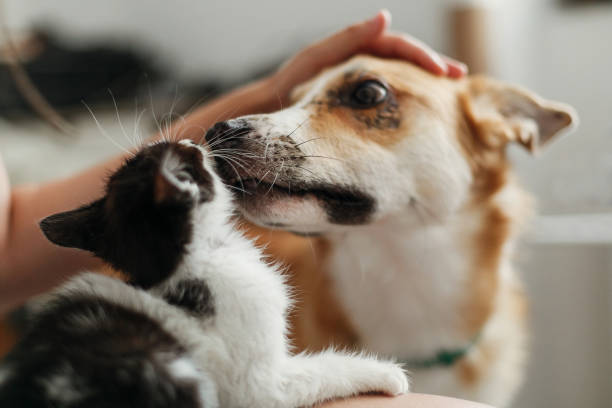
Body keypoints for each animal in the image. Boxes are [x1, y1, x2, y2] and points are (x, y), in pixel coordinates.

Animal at [1, 139, 412, 406]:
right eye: (186, 158)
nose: (189, 139)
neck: (192, 262)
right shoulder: (260, 385)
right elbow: (323, 368)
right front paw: (385, 373)